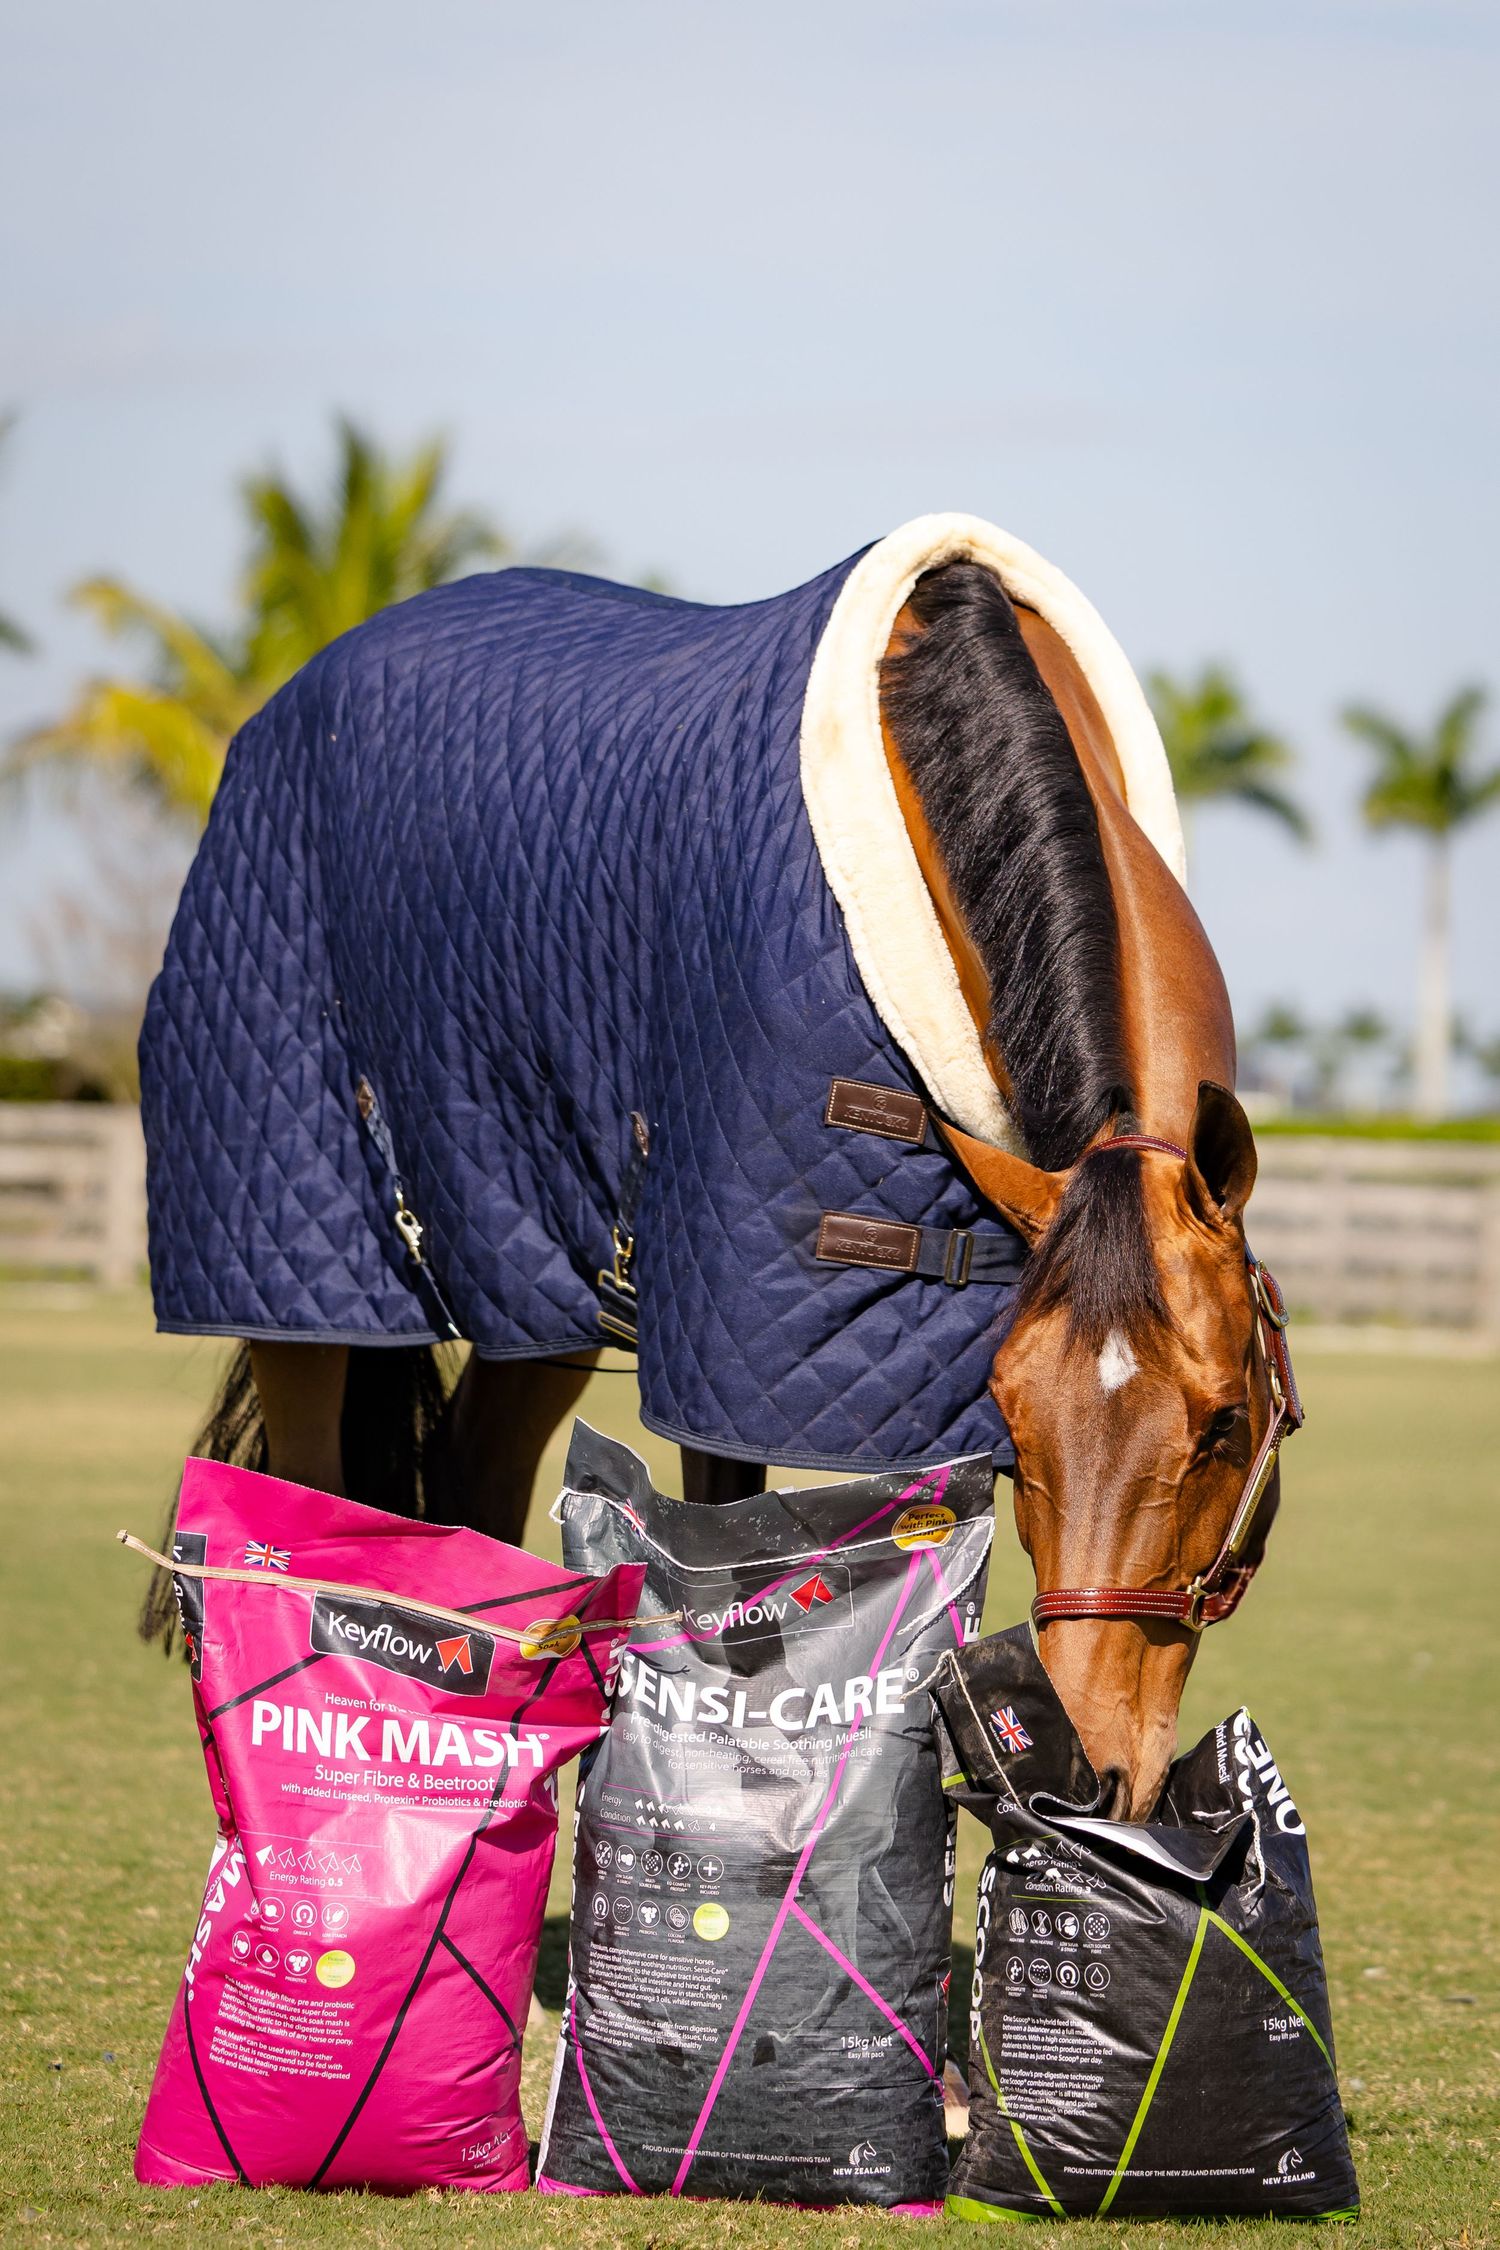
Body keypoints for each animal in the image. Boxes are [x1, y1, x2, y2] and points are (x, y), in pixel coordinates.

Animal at [138, 513, 1290, 1822]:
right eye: (1016, 1413)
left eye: (1224, 1420)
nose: (1096, 1769)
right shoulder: (730, 1331)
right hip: (298, 1259)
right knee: (313, 1498)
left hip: (539, 1277)